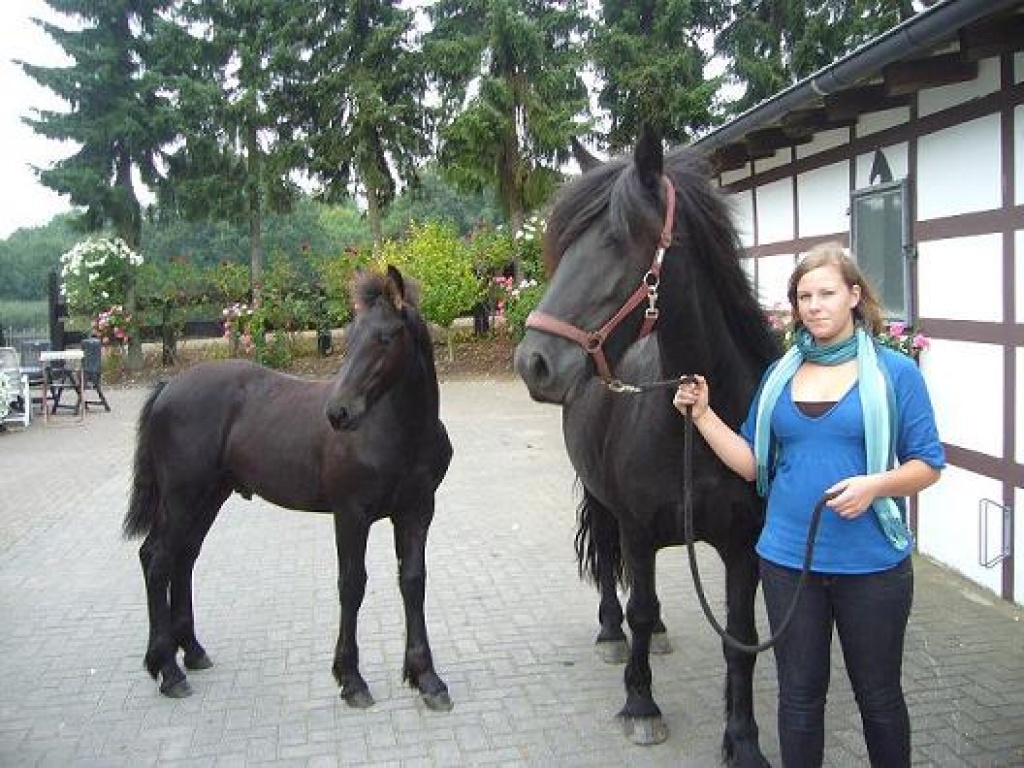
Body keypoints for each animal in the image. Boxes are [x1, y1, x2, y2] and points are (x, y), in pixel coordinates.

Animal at [122, 266, 453, 712]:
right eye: (350, 336)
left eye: (385, 337)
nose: (338, 412)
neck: (400, 434)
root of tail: (166, 389)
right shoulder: (351, 514)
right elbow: (352, 584)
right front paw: (351, 679)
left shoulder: (417, 511)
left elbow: (413, 582)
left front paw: (426, 678)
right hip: (181, 497)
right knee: (157, 559)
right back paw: (167, 670)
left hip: (209, 497)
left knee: (183, 558)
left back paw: (190, 651)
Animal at [514, 128, 780, 766]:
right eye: (566, 244)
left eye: (617, 240)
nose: (533, 361)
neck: (697, 424)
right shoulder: (636, 527)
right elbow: (637, 601)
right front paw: (641, 705)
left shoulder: (745, 547)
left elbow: (740, 639)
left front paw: (743, 739)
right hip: (604, 501)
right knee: (615, 569)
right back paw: (614, 632)